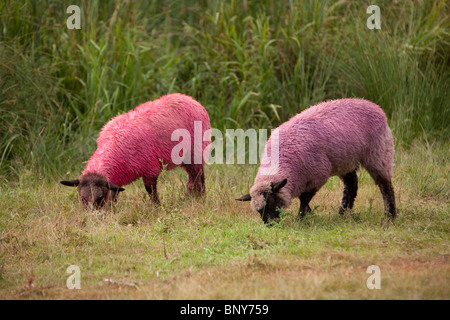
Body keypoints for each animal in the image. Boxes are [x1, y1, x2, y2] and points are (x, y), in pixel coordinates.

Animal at [60, 93, 213, 208]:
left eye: (99, 197)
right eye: (82, 198)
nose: (93, 217)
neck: (113, 145)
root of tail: (190, 99)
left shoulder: (150, 168)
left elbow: (151, 191)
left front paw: (157, 207)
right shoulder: (117, 177)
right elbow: (115, 191)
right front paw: (112, 208)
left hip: (195, 151)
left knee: (196, 176)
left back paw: (195, 197)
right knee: (197, 174)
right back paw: (196, 197)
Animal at [237, 99, 396, 224]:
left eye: (272, 202)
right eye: (259, 211)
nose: (269, 224)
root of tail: (374, 105)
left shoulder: (317, 175)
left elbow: (304, 198)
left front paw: (301, 217)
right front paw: (309, 213)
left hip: (378, 153)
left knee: (385, 185)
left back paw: (390, 216)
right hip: (344, 161)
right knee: (351, 184)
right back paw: (343, 213)